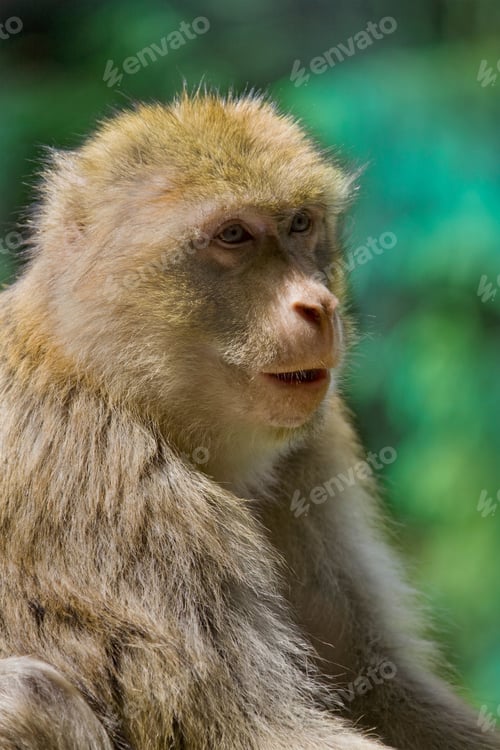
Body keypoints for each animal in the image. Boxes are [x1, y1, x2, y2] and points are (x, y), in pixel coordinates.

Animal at [0, 91, 497, 750]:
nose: (319, 306)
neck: (116, 384)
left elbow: (380, 687)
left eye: (300, 224)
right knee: (28, 695)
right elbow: (254, 731)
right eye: (234, 235)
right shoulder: (119, 488)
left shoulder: (312, 453)